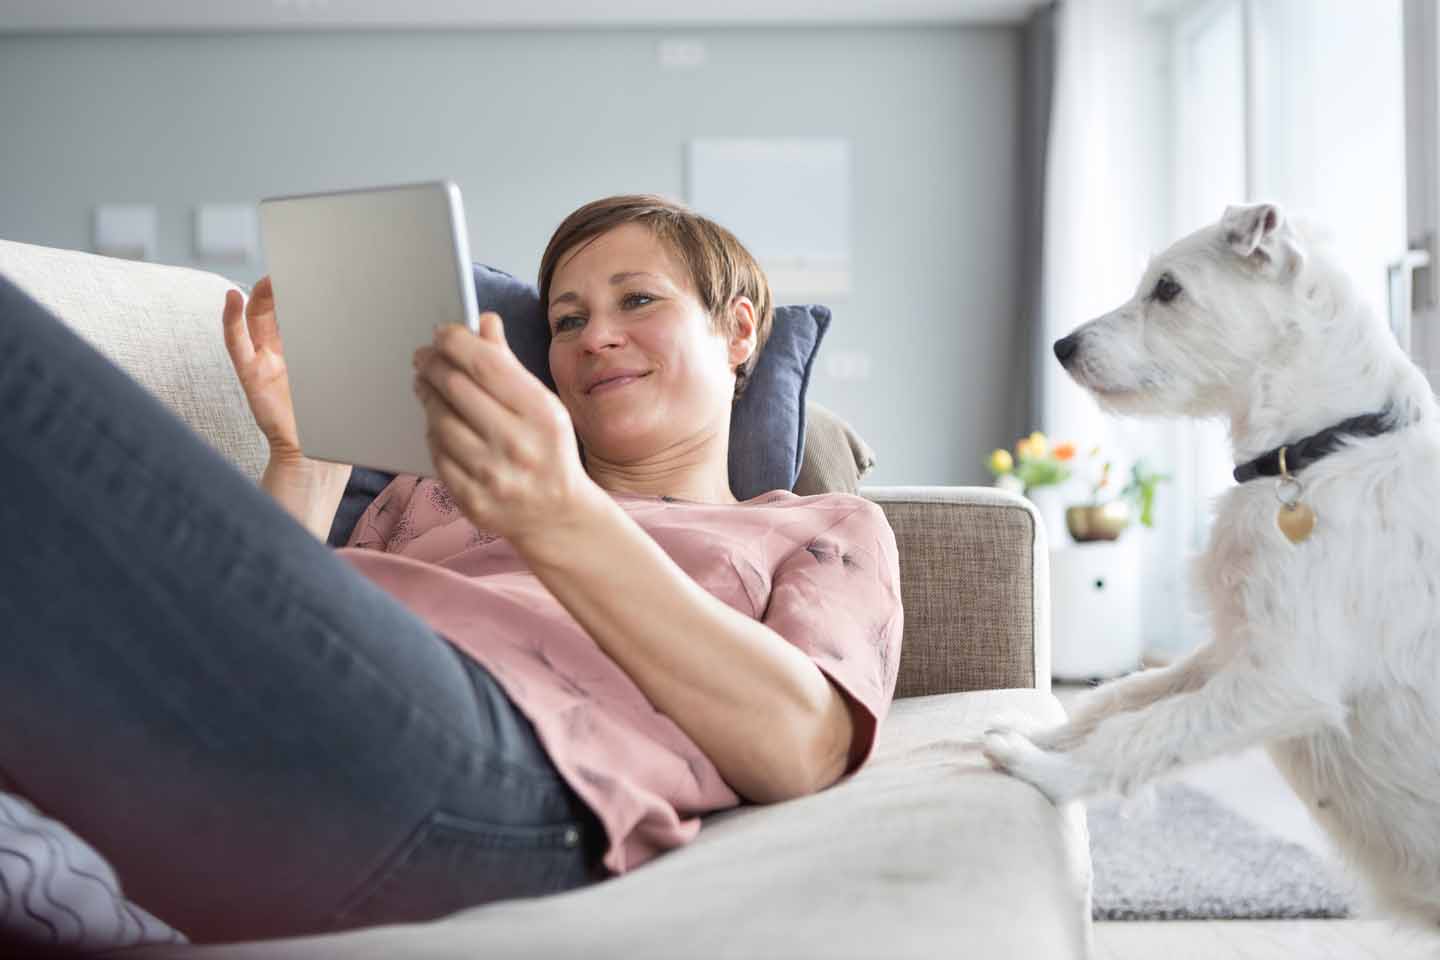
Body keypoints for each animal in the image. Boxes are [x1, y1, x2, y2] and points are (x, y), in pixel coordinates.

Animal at [984, 204, 1440, 932]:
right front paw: (1046, 734)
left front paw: (1041, 771)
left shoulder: (1282, 681)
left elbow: (1143, 731)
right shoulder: (1227, 652)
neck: (1321, 450)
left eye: (1169, 289)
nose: (1061, 346)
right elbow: (1119, 698)